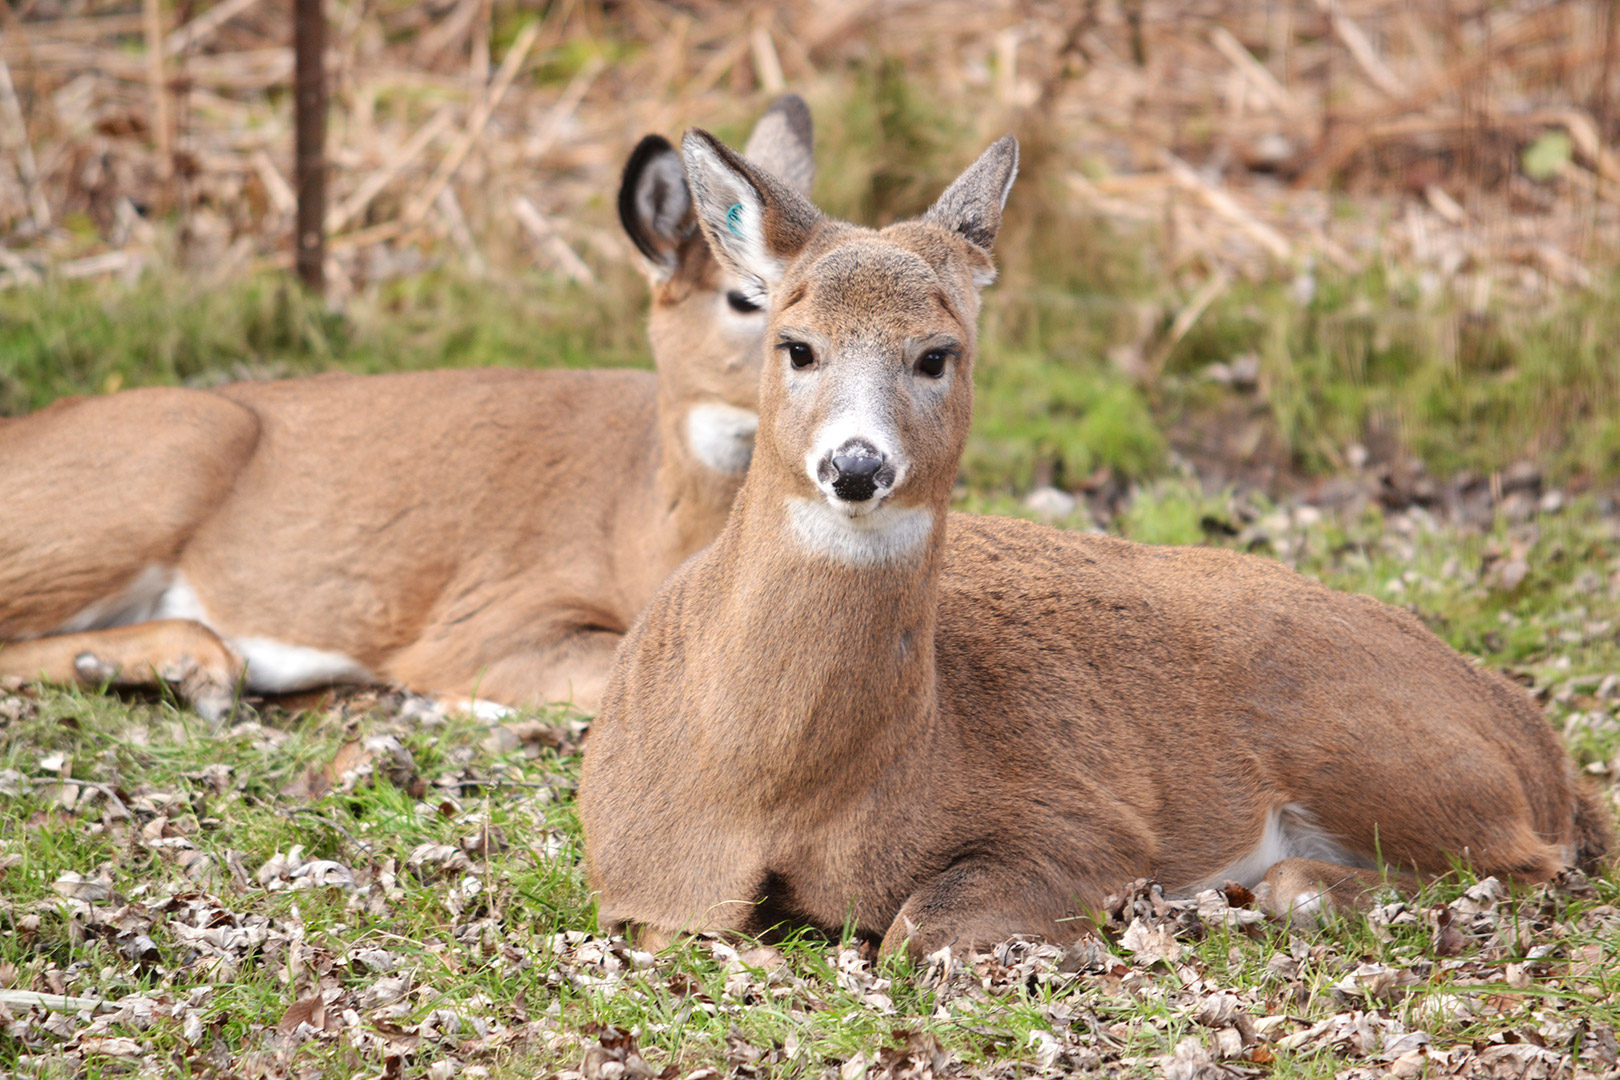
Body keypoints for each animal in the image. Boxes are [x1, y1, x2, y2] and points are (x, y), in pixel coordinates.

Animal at [577, 130, 1612, 958]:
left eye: (936, 354)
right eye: (794, 345)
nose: (857, 465)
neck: (770, 790)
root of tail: (1543, 751)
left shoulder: (1086, 821)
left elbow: (919, 927)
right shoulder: (638, 882)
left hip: (1382, 747)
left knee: (1517, 863)